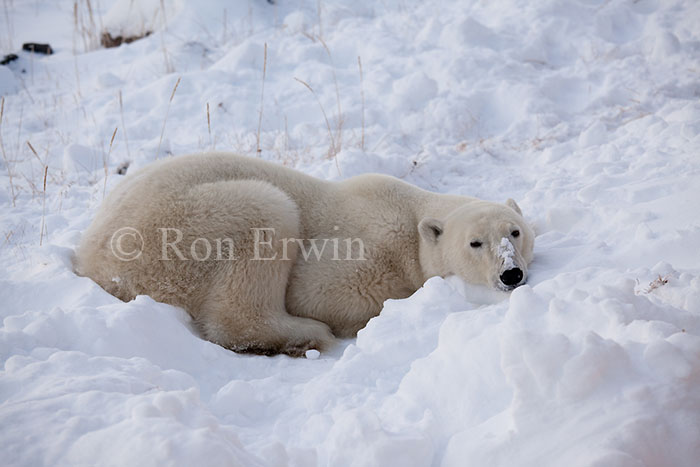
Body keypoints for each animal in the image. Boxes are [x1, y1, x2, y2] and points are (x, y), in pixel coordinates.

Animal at [74, 153, 534, 356]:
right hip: (183, 227)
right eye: (474, 242)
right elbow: (322, 291)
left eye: (515, 231)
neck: (409, 214)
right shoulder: (364, 244)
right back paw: (307, 334)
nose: (511, 274)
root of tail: (92, 259)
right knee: (263, 218)